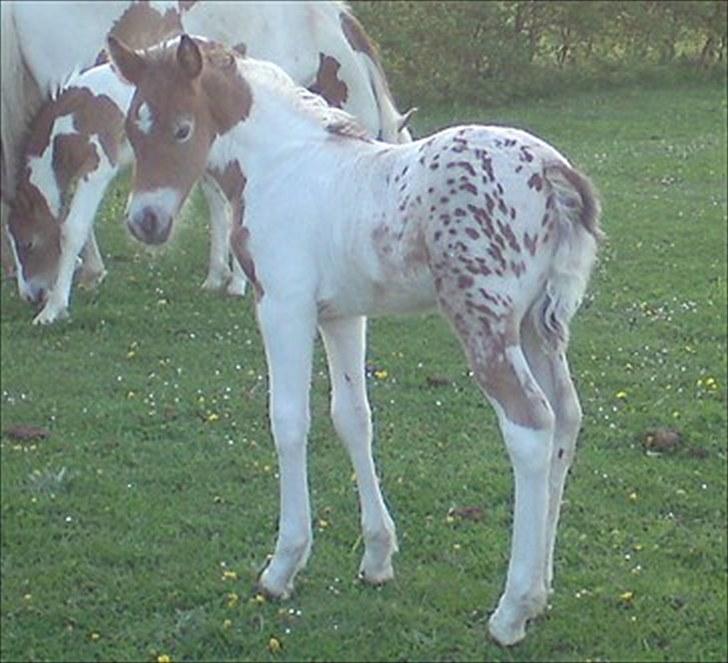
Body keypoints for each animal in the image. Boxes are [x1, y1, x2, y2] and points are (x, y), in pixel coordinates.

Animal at [108, 36, 604, 648]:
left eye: (182, 129)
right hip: (538, 326)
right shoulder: (341, 316)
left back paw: (512, 610)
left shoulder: (283, 306)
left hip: (486, 321)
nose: (145, 222)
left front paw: (283, 565)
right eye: (132, 129)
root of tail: (554, 172)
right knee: (566, 418)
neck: (281, 165)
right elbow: (352, 418)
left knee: (531, 426)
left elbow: (289, 422)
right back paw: (542, 591)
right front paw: (377, 557)